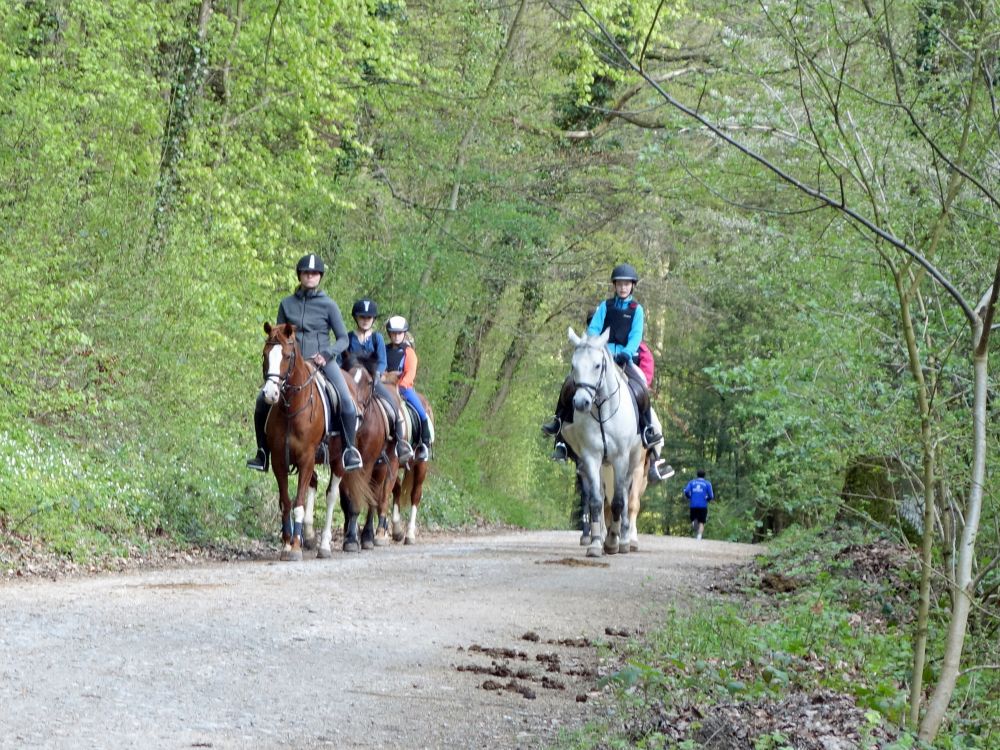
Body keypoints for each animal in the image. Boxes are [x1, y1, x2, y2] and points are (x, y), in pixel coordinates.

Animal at [262, 320, 376, 560]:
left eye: (287, 355)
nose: (270, 393)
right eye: (265, 354)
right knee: (314, 486)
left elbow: (298, 502)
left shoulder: (305, 458)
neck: (292, 409)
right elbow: (286, 502)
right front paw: (287, 543)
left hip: (339, 461)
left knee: (332, 496)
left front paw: (295, 546)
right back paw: (310, 537)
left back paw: (324, 545)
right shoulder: (279, 460)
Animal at [560, 328, 644, 560]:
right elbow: (596, 501)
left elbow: (618, 502)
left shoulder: (621, 459)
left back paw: (624, 540)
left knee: (625, 497)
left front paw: (613, 542)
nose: (581, 403)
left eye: (598, 365)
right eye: (573, 365)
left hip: (633, 463)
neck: (602, 411)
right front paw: (596, 543)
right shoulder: (590, 457)